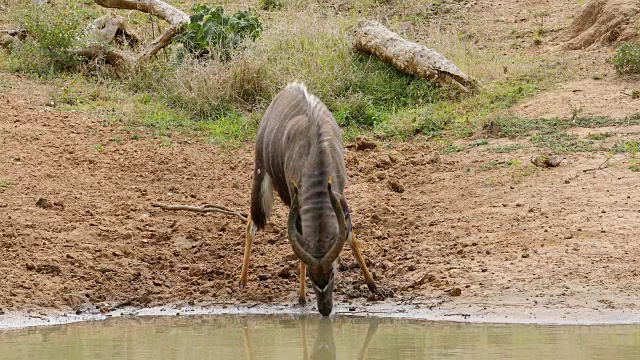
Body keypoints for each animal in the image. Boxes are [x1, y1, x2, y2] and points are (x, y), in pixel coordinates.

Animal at [240, 81, 380, 316]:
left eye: (332, 273)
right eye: (314, 278)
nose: (325, 309)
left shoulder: (340, 197)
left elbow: (350, 237)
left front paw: (374, 286)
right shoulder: (295, 200)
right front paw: (302, 297)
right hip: (260, 174)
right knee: (252, 222)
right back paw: (241, 282)